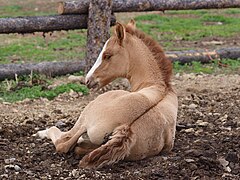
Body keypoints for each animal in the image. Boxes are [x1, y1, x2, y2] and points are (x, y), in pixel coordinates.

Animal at [36, 20, 178, 169]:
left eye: (107, 55)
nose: (88, 80)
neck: (157, 86)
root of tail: (126, 129)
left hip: (85, 116)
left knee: (62, 142)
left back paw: (42, 133)